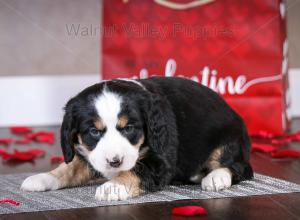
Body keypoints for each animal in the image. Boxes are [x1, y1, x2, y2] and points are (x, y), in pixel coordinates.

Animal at [20, 76, 253, 200]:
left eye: (129, 128)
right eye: (94, 131)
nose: (114, 161)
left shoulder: (160, 161)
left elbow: (134, 171)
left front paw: (112, 187)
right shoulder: (90, 155)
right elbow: (69, 167)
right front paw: (43, 178)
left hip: (228, 141)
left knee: (240, 167)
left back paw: (216, 178)